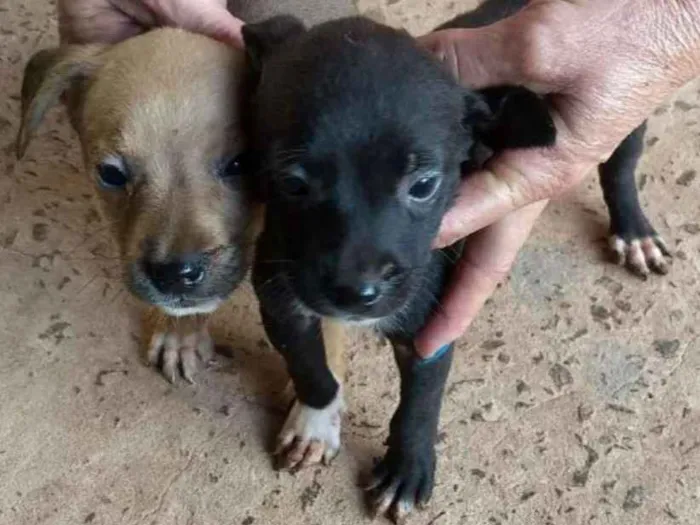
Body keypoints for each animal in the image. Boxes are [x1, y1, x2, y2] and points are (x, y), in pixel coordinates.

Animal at [243, 1, 668, 520]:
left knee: (620, 166)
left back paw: (634, 231)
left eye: (424, 185)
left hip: (625, 111)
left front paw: (407, 470)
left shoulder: (433, 320)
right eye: (292, 182)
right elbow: (309, 369)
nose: (355, 292)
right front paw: (315, 420)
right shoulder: (280, 300)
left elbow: (421, 402)